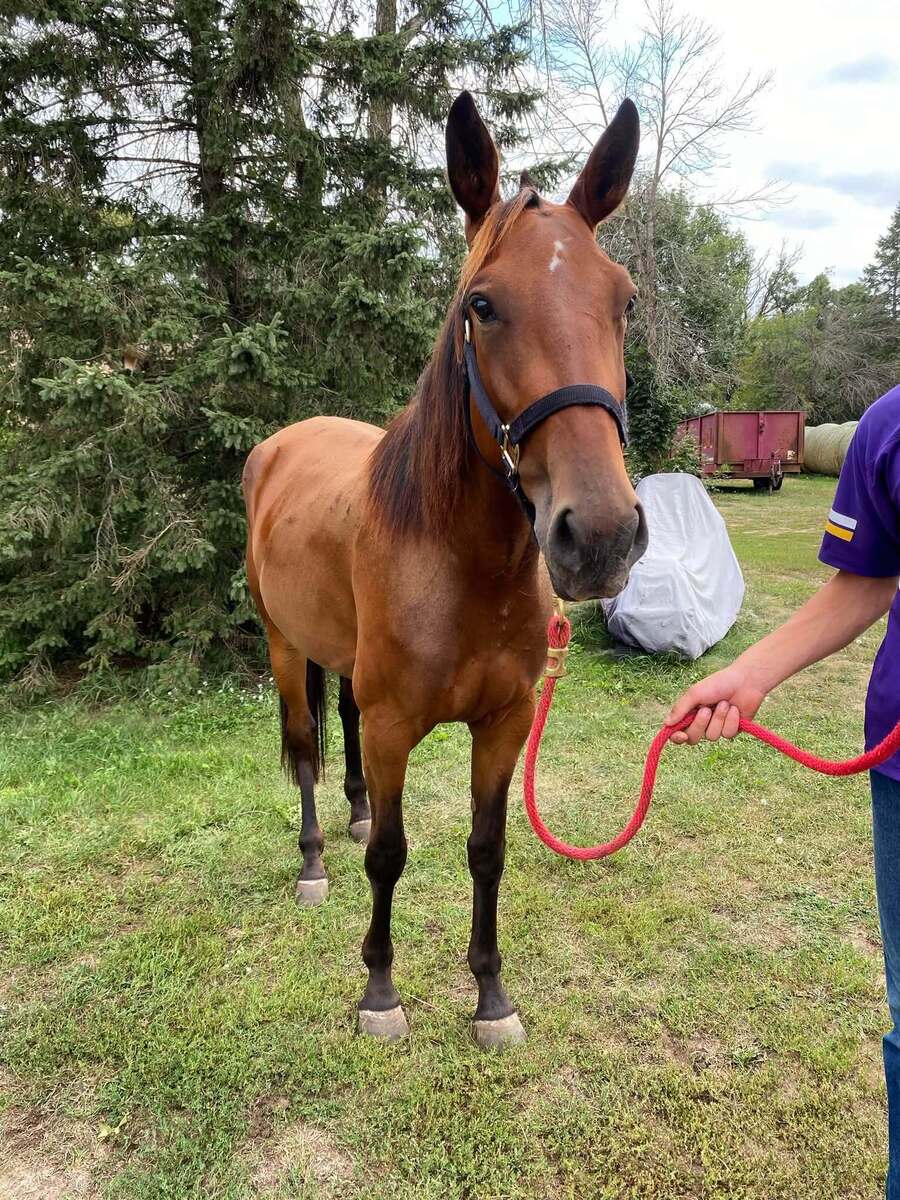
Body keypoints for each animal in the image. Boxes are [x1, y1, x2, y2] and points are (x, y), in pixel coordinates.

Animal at [242, 91, 647, 1048]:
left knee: (340, 722)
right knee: (306, 748)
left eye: (624, 302)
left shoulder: (504, 725)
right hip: (281, 644)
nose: (601, 535)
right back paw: (315, 858)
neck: (466, 567)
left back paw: (350, 815)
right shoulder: (397, 729)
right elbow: (393, 857)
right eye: (483, 305)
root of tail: (278, 446)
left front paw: (491, 995)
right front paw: (380, 990)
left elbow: (487, 851)